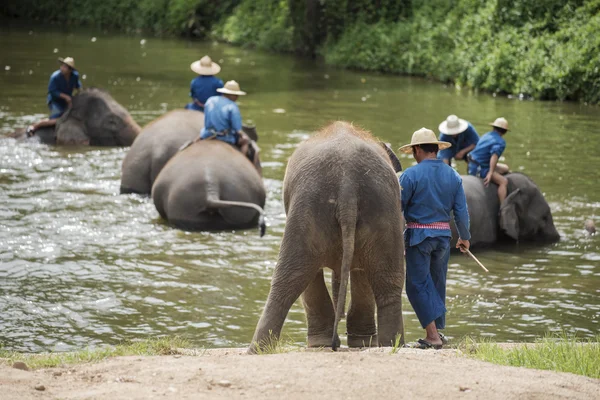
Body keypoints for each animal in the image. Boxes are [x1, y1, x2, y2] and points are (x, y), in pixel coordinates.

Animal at [246, 121, 406, 354]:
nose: (336, 342)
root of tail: (347, 182)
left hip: (310, 208)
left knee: (291, 276)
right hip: (380, 209)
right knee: (387, 280)